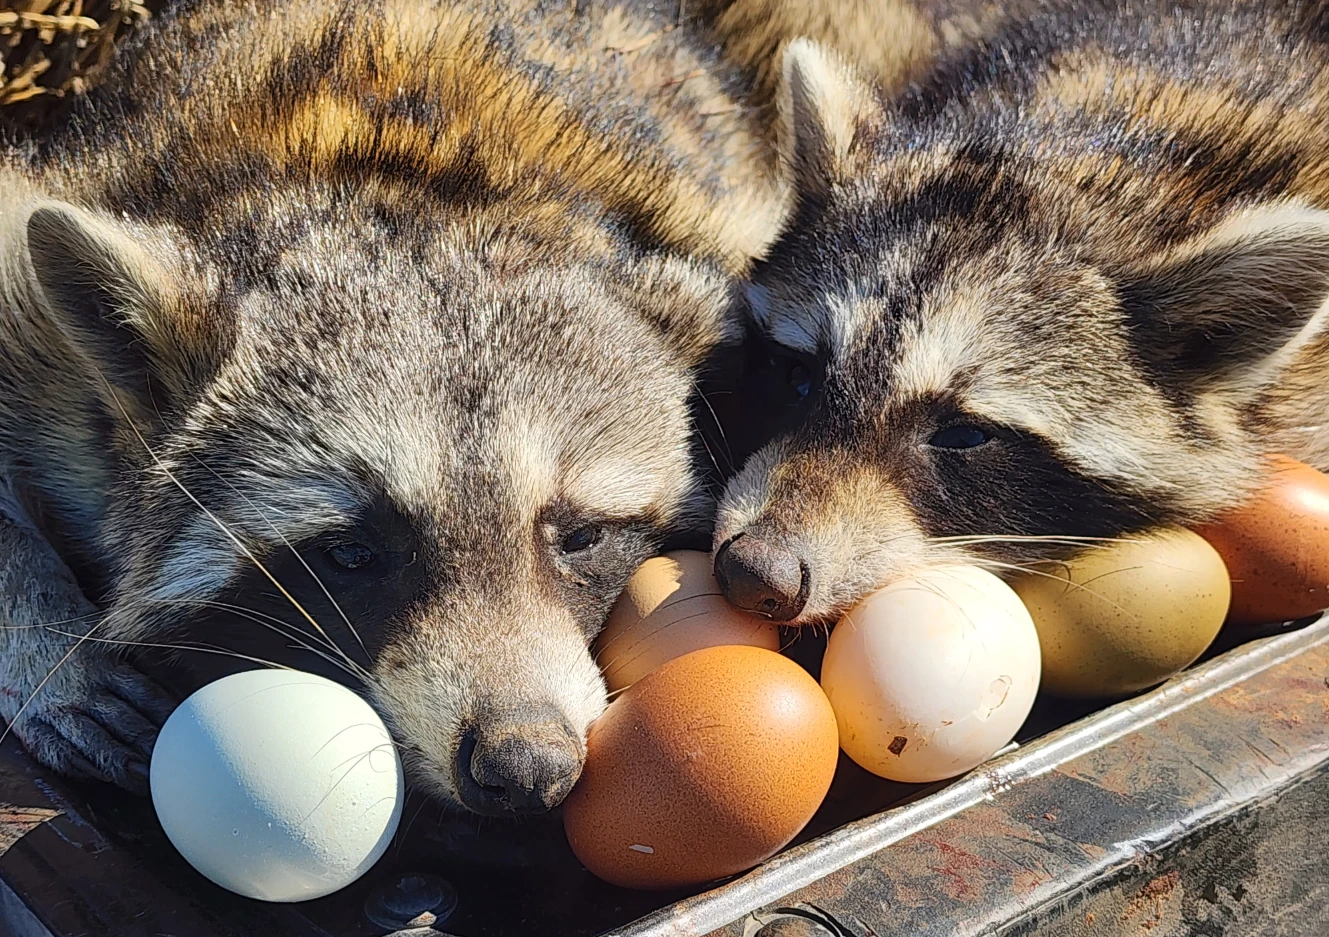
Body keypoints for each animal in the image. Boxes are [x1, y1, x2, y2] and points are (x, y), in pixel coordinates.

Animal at [0, 0, 787, 814]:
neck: (398, 178)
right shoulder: (41, 305)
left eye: (581, 536)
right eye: (352, 553)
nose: (524, 768)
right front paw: (39, 621)